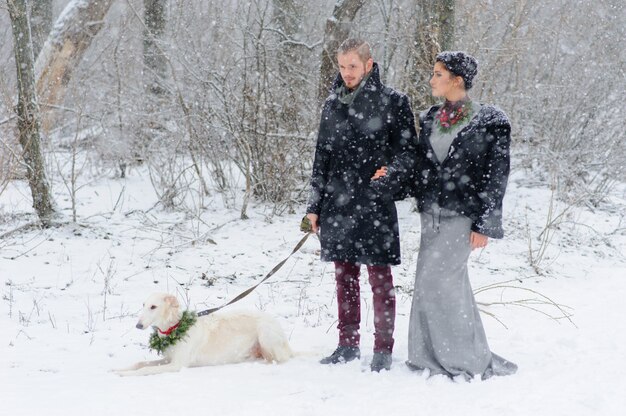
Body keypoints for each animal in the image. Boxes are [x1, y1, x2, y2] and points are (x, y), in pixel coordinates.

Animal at [113, 292, 292, 376]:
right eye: (143, 305)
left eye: (153, 307)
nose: (138, 325)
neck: (175, 328)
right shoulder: (169, 359)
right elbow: (140, 364)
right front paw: (116, 370)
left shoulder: (177, 365)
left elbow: (144, 369)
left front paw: (124, 374)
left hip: (265, 334)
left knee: (277, 360)